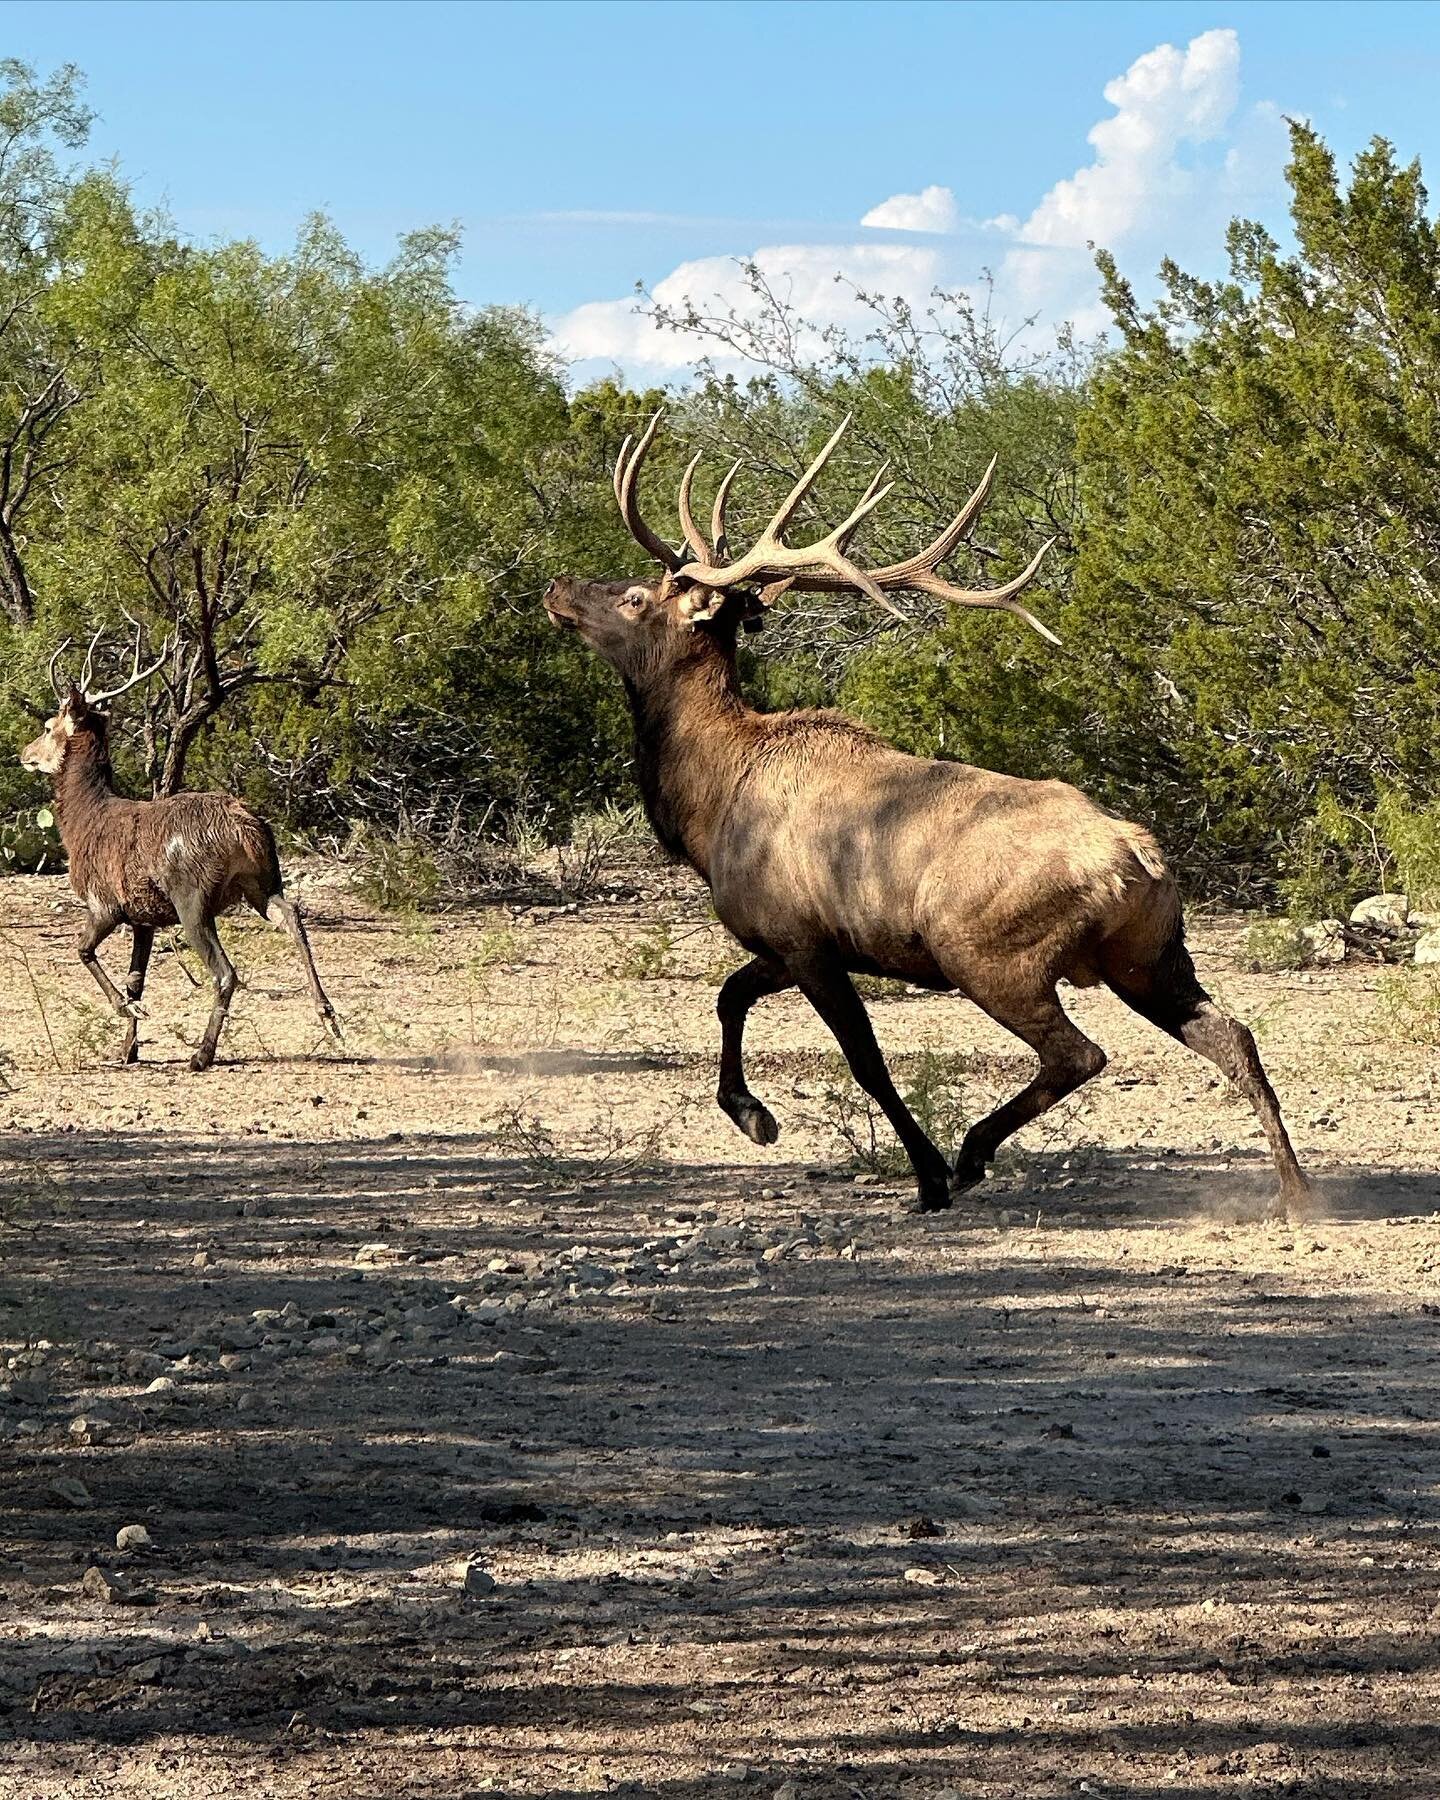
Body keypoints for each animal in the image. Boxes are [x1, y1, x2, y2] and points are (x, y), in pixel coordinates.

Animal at [19, 633, 340, 1065]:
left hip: (192, 897)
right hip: (263, 881)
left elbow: (83, 950)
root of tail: (245, 828)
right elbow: (136, 979)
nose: (25, 754)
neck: (82, 824)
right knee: (292, 917)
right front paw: (128, 1050)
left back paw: (202, 1055)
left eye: (49, 726)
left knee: (226, 972)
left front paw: (128, 1013)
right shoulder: (143, 917)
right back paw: (329, 1018)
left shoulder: (105, 903)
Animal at [547, 414, 1310, 1216]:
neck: (709, 805)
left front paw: (926, 1174)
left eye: (636, 596)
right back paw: (1295, 1193)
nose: (558, 586)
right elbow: (730, 996)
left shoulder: (804, 937)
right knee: (1234, 1035)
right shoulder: (789, 940)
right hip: (1150, 955)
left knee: (1079, 1051)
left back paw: (972, 1154)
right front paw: (754, 1116)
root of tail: (1143, 860)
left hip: (987, 951)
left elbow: (865, 1060)